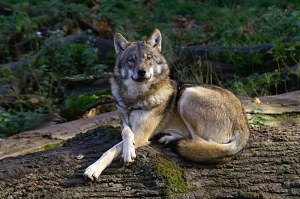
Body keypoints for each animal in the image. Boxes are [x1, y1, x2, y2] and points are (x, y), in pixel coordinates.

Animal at [83, 29, 250, 180]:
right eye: (131, 60)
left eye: (148, 58)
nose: (142, 72)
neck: (135, 98)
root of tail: (245, 126)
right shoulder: (125, 123)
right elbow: (125, 132)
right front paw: (125, 150)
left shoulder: (142, 133)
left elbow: (113, 148)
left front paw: (98, 166)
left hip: (187, 95)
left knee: (199, 142)